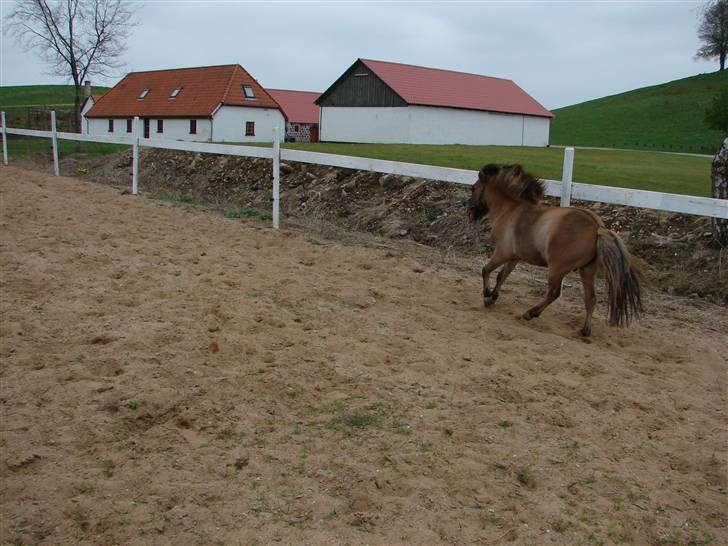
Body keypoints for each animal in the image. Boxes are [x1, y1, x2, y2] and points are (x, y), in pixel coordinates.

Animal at [470, 162, 640, 336]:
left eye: (473, 188)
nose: (471, 212)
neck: (510, 210)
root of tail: (597, 227)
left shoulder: (502, 253)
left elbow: (486, 270)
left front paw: (487, 296)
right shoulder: (514, 257)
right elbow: (501, 276)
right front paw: (492, 297)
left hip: (557, 269)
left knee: (554, 293)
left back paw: (530, 313)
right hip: (587, 270)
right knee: (590, 298)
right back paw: (585, 331)